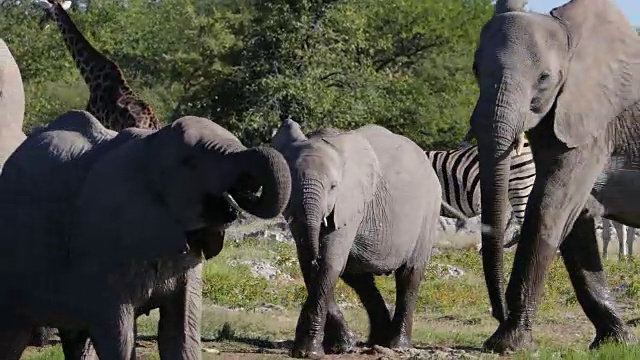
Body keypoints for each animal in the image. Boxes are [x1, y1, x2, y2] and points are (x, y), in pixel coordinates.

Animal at [0, 109, 292, 358]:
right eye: (190, 163)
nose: (241, 196)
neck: (150, 148)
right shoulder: (103, 244)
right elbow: (118, 335)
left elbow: (180, 333)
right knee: (13, 336)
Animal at [272, 118, 448, 358]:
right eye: (291, 183)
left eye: (333, 186)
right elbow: (311, 265)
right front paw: (340, 346)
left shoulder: (350, 202)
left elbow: (330, 264)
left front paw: (308, 352)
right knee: (360, 280)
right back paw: (377, 340)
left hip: (428, 211)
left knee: (409, 275)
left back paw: (397, 345)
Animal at [468, 0, 640, 354]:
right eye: (476, 69)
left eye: (544, 78)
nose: (497, 311)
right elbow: (575, 218)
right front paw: (617, 342)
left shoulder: (595, 123)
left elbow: (551, 207)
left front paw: (507, 343)